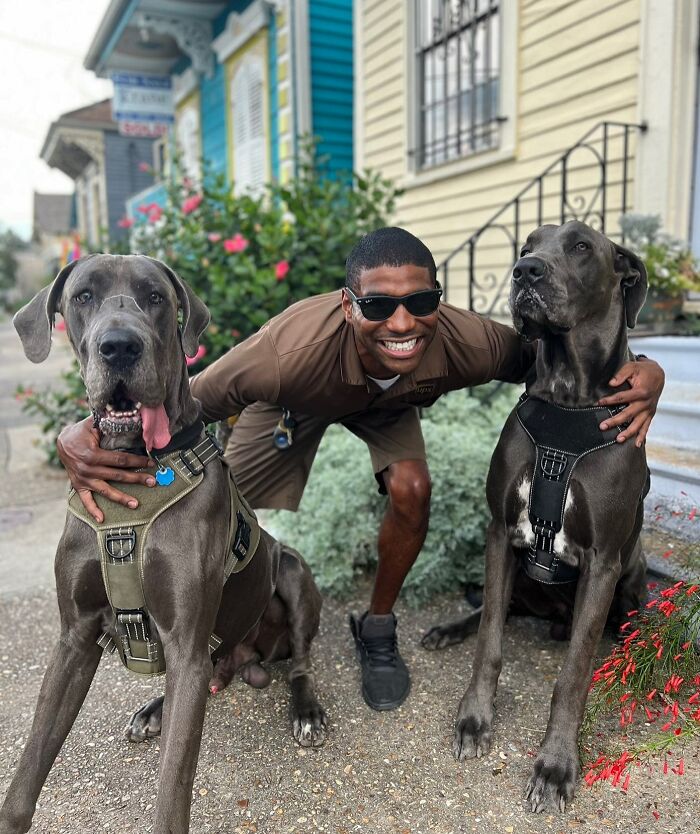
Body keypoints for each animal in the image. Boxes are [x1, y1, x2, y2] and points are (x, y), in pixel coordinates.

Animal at [0, 252, 326, 832]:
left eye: (155, 297)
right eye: (82, 296)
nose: (119, 346)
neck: (135, 473)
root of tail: (247, 659)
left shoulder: (186, 640)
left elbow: (172, 789)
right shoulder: (74, 637)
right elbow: (31, 760)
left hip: (290, 570)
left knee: (301, 659)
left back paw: (306, 711)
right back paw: (153, 710)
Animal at [424, 221, 648, 812]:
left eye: (581, 246)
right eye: (527, 246)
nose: (525, 271)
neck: (569, 396)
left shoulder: (602, 560)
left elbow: (572, 676)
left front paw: (555, 766)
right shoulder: (501, 532)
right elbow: (490, 644)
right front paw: (475, 719)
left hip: (630, 578)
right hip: (519, 576)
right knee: (492, 610)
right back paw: (448, 629)